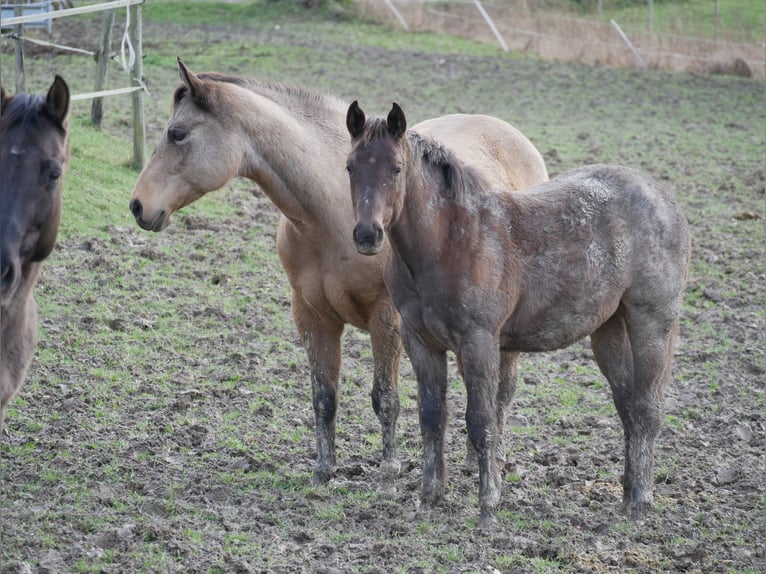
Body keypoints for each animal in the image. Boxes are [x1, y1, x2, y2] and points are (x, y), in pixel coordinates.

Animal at [129, 58, 548, 496]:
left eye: (177, 133)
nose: (138, 206)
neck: (329, 213)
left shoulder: (387, 320)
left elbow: (386, 399)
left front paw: (388, 475)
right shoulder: (312, 316)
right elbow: (324, 396)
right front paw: (323, 471)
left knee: (501, 392)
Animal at [348, 102, 696, 528]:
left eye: (396, 168)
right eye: (350, 166)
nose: (368, 235)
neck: (449, 242)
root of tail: (662, 197)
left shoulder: (478, 341)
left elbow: (481, 421)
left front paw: (488, 504)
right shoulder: (420, 340)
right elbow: (431, 416)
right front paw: (429, 497)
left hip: (652, 322)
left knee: (646, 408)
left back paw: (641, 500)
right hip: (608, 331)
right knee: (627, 405)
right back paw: (628, 492)